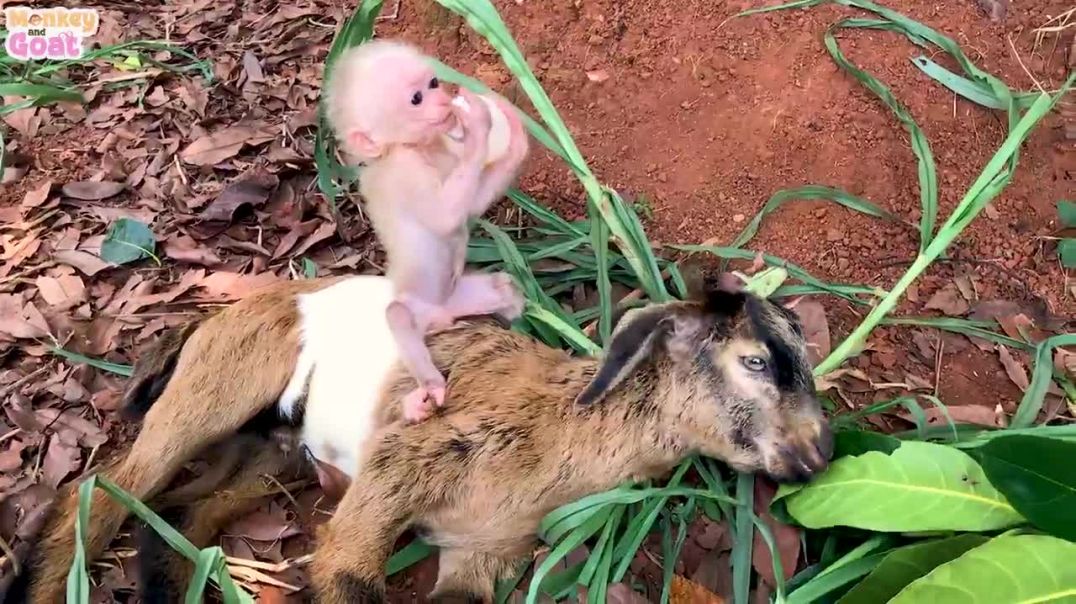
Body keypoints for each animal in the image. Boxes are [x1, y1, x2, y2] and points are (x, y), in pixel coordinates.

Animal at [9, 273, 831, 603]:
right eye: (755, 361)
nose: (821, 453)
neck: (556, 431)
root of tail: (206, 320)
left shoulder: (483, 552)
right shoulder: (401, 466)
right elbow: (345, 571)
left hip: (275, 452)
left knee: (182, 512)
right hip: (219, 387)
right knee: (102, 489)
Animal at [323, 39, 530, 423]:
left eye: (433, 82)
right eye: (416, 99)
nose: (445, 99)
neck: (419, 147)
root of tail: (439, 315)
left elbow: (470, 206)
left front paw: (514, 131)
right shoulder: (406, 172)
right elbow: (444, 217)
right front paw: (479, 124)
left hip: (458, 297)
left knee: (502, 288)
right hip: (414, 307)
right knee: (397, 317)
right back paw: (425, 391)